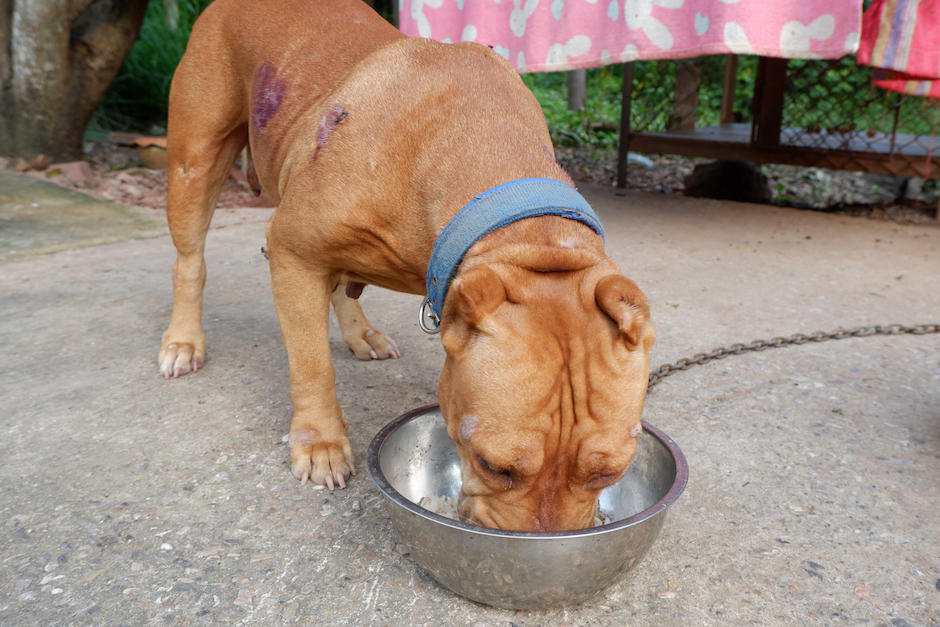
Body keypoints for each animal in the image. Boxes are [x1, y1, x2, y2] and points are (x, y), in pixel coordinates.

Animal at [158, 0, 652, 536]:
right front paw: (321, 440)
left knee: (341, 286)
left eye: (610, 472)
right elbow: (312, 364)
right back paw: (183, 342)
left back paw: (361, 333)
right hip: (195, 161)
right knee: (190, 261)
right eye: (493, 465)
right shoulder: (293, 252)